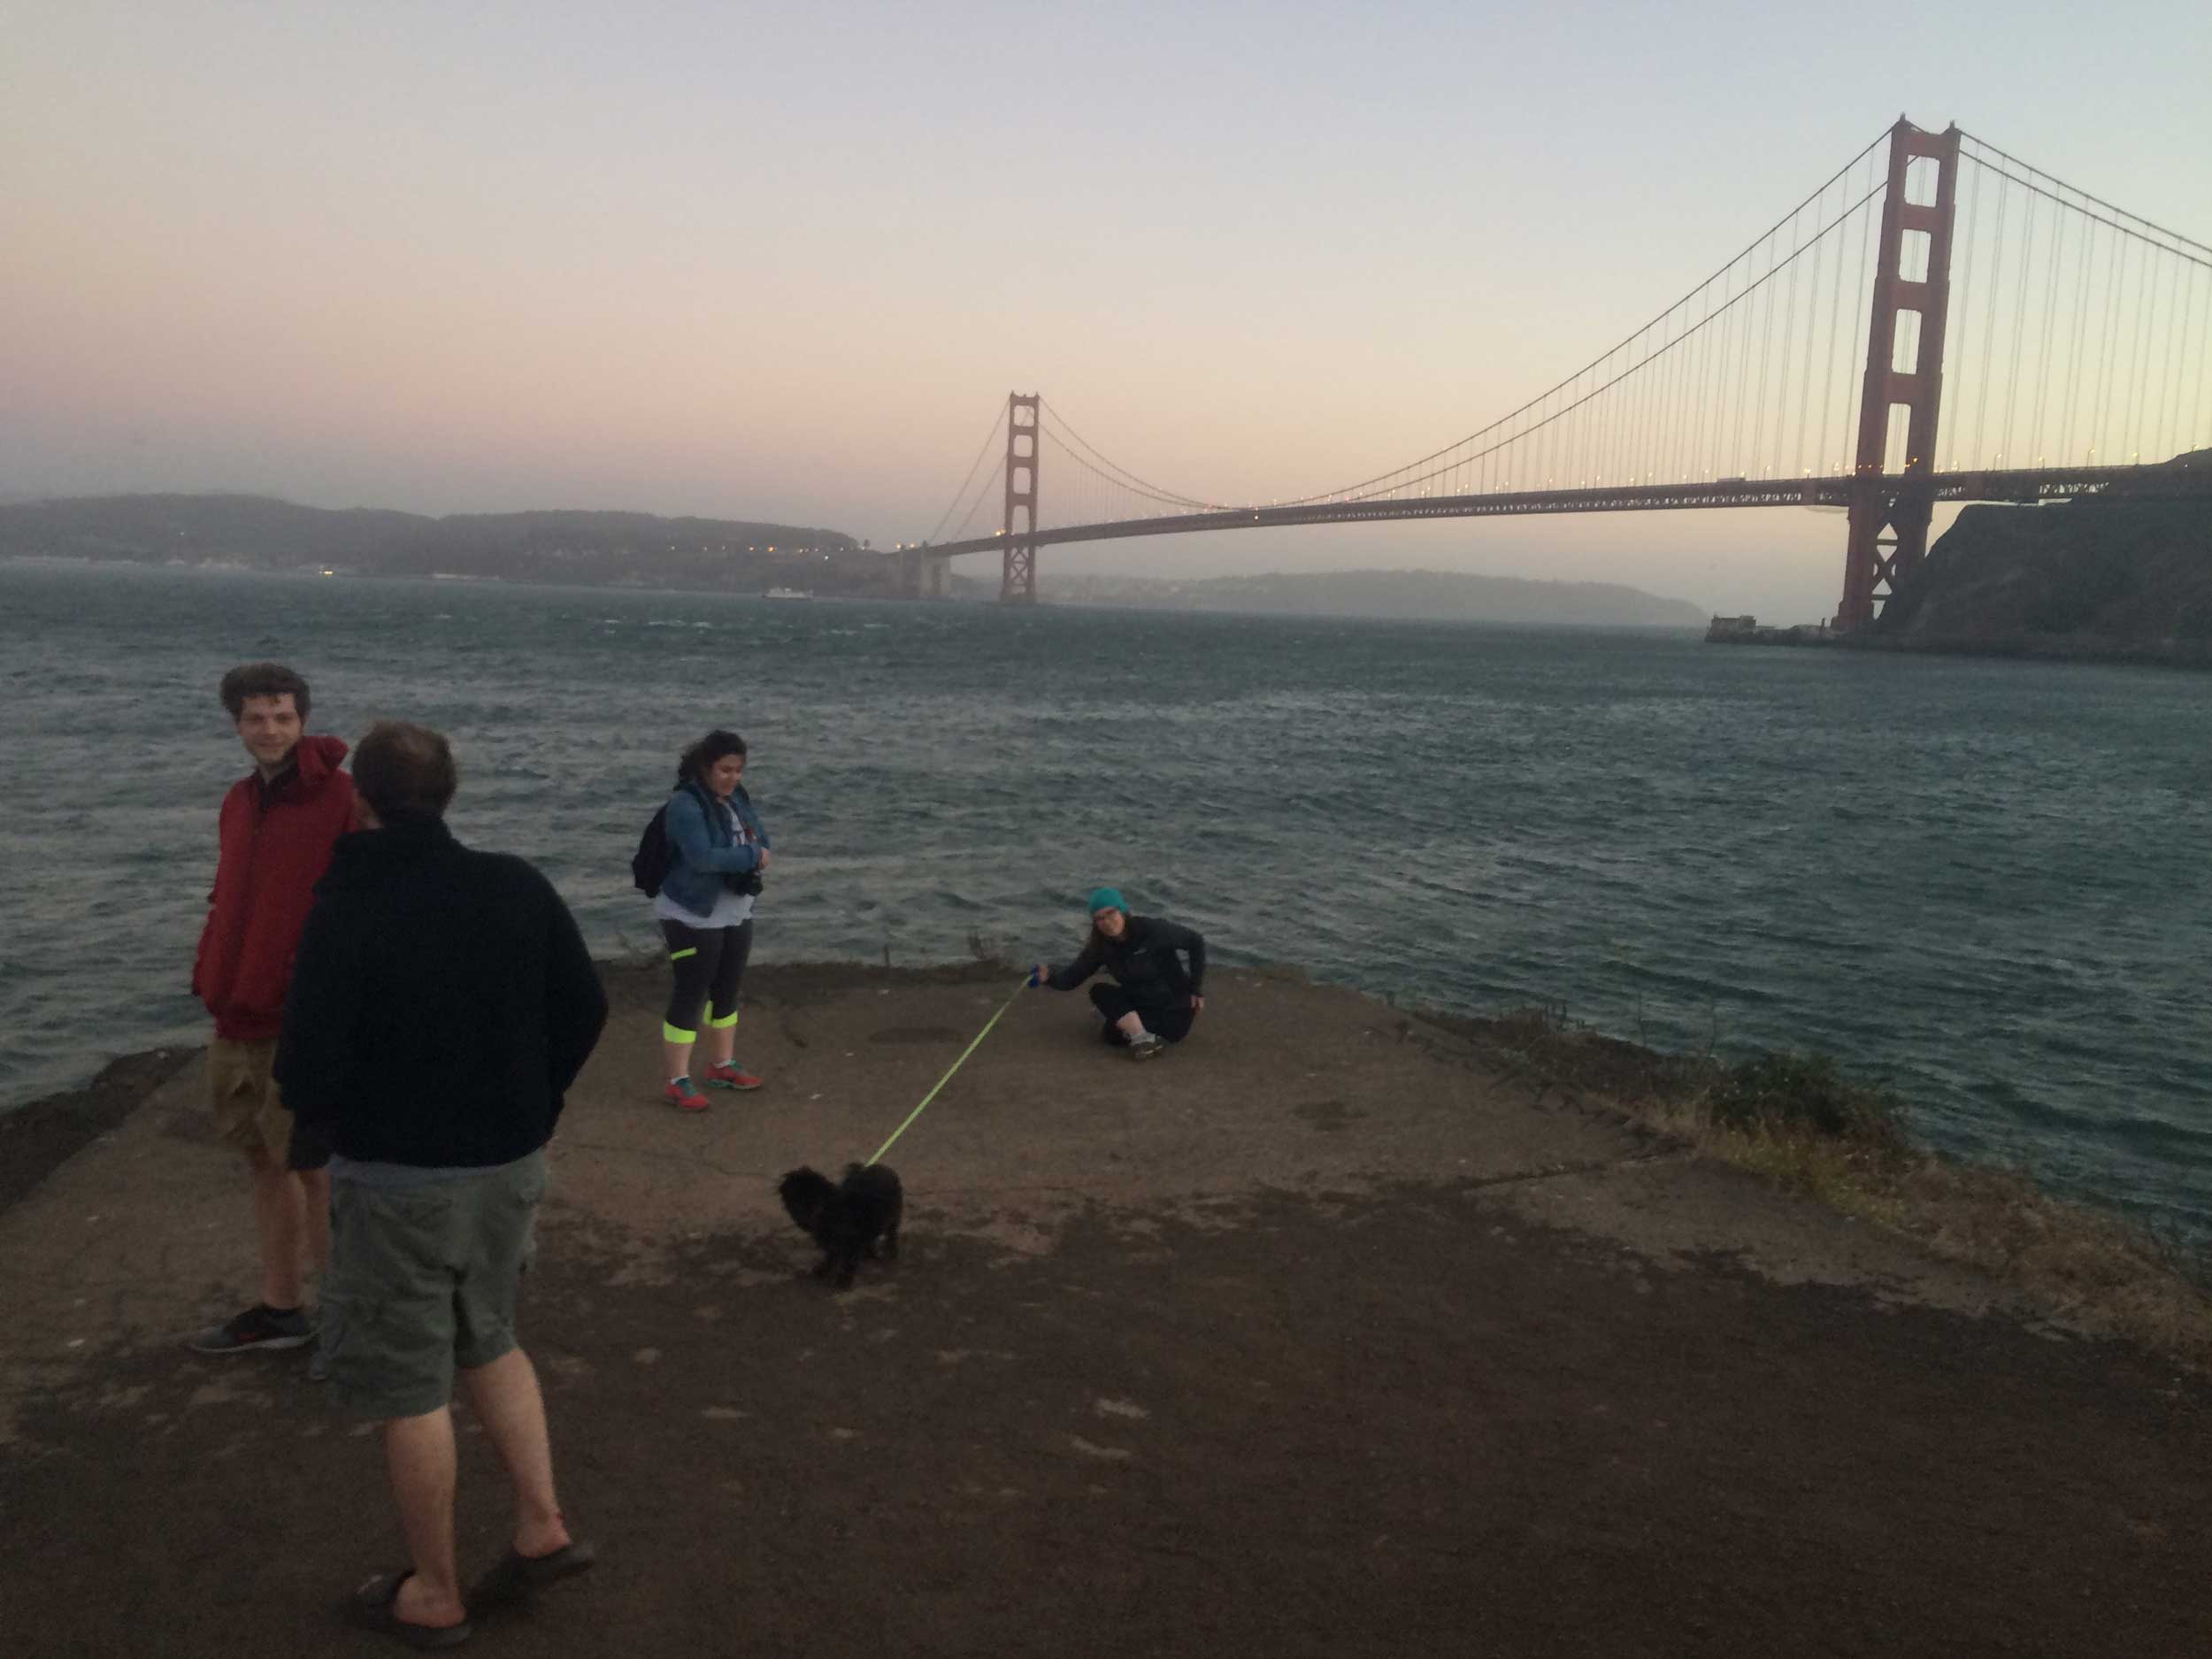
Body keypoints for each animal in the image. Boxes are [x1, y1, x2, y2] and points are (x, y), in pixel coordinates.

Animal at [774, 1159, 902, 1292]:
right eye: (791, 1199)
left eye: (806, 1200)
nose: (801, 1219)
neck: (827, 1209)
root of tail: (884, 1168)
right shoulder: (834, 1240)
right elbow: (831, 1255)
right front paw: (823, 1270)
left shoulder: (852, 1241)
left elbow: (849, 1262)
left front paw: (843, 1282)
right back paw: (870, 1254)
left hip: (893, 1216)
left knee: (891, 1234)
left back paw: (891, 1252)